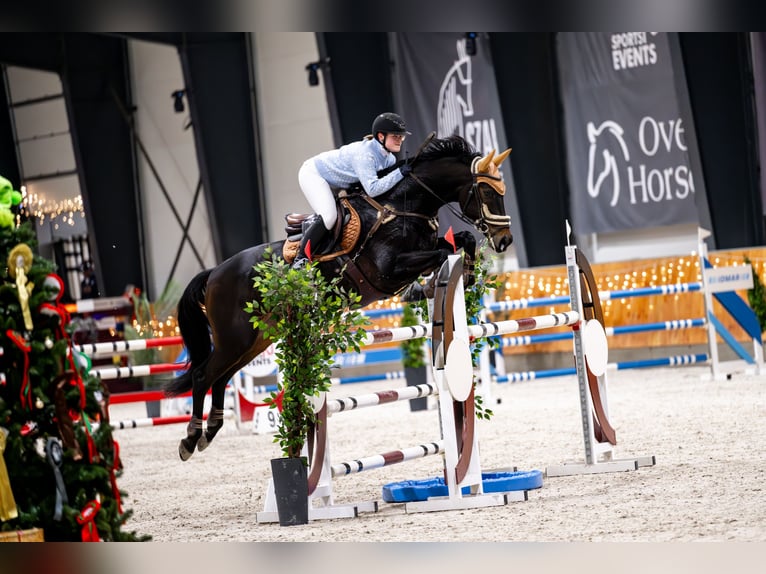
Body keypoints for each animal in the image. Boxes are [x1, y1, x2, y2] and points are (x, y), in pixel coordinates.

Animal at [164, 135, 513, 461]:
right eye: (487, 193)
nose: (505, 240)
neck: (405, 206)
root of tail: (215, 272)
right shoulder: (388, 271)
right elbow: (444, 250)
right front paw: (443, 280)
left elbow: (463, 240)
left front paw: (461, 276)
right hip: (234, 337)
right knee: (203, 375)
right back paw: (190, 439)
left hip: (256, 339)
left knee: (220, 378)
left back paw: (211, 430)